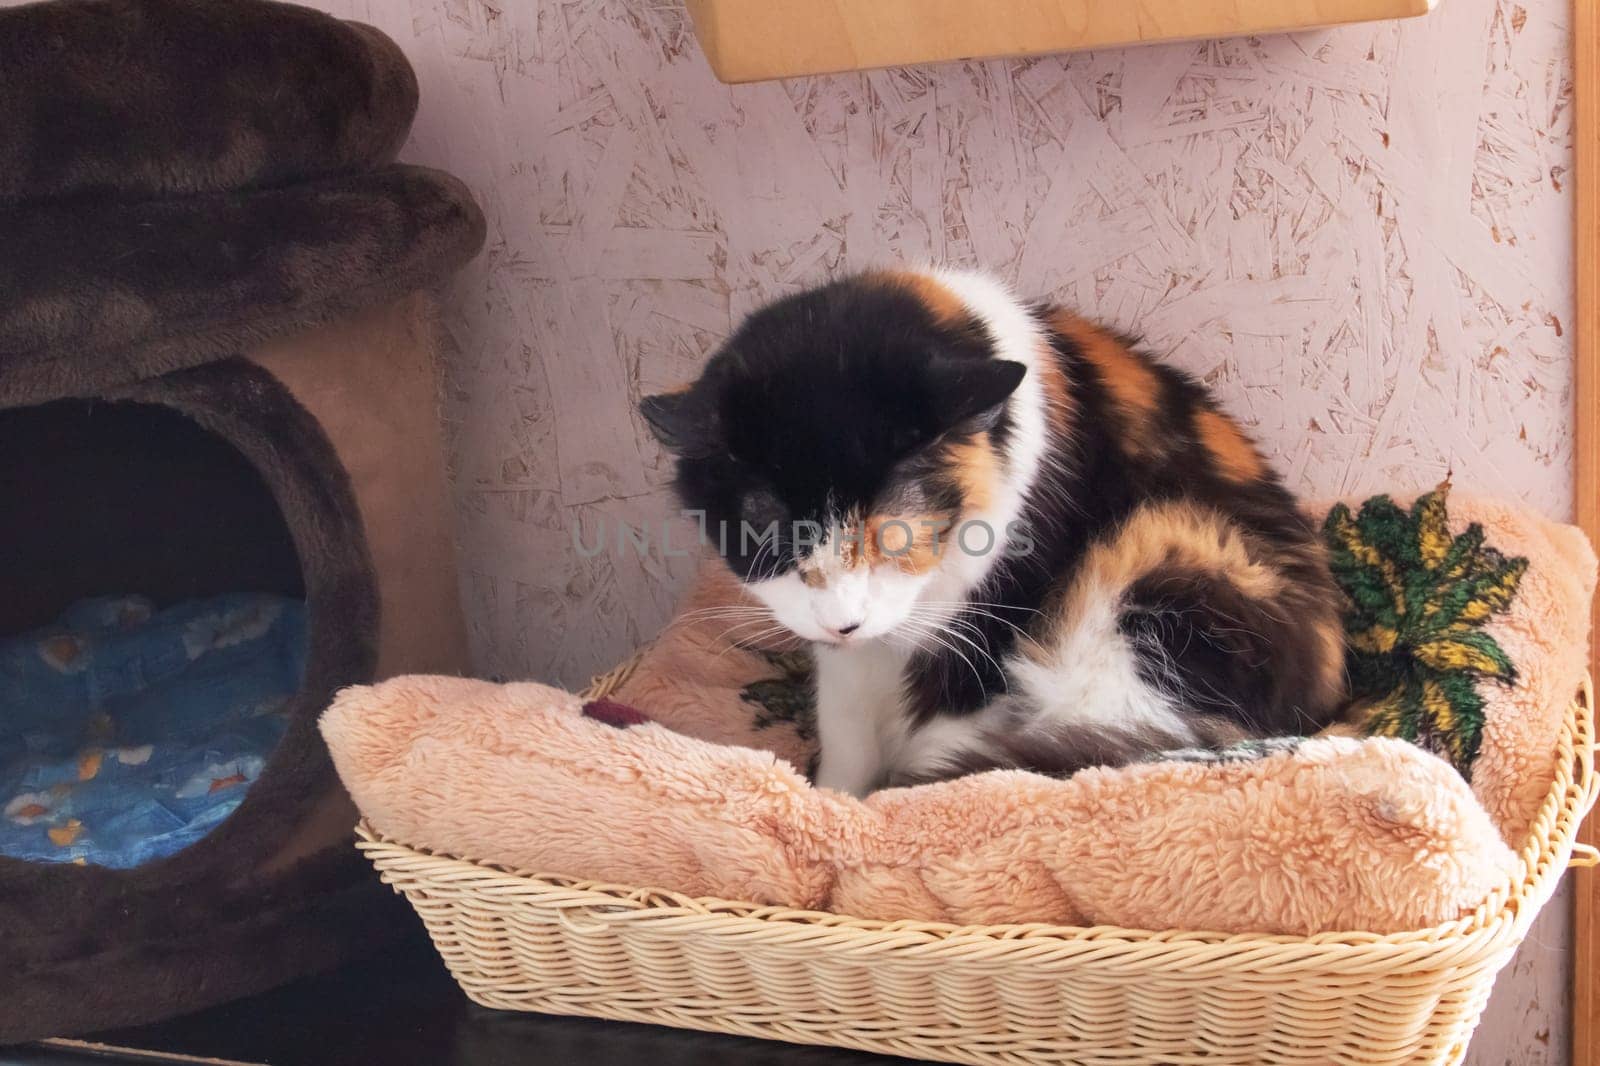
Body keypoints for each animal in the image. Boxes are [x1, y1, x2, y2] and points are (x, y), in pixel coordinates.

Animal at [643, 270, 1344, 793]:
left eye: (895, 527)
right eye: (766, 527)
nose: (844, 621)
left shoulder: (989, 627)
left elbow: (948, 735)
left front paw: (903, 809)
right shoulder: (849, 658)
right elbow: (845, 732)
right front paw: (832, 801)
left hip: (1166, 546)